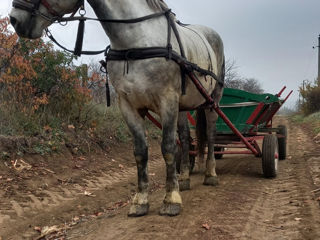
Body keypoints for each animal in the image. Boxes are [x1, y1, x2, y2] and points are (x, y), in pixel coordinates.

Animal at [10, 0, 225, 218]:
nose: (15, 19)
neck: (136, 42)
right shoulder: (128, 105)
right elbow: (140, 152)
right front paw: (140, 201)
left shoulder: (168, 101)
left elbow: (168, 148)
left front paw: (171, 199)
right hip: (182, 107)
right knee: (186, 137)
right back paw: (185, 179)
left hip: (212, 101)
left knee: (210, 134)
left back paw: (210, 174)